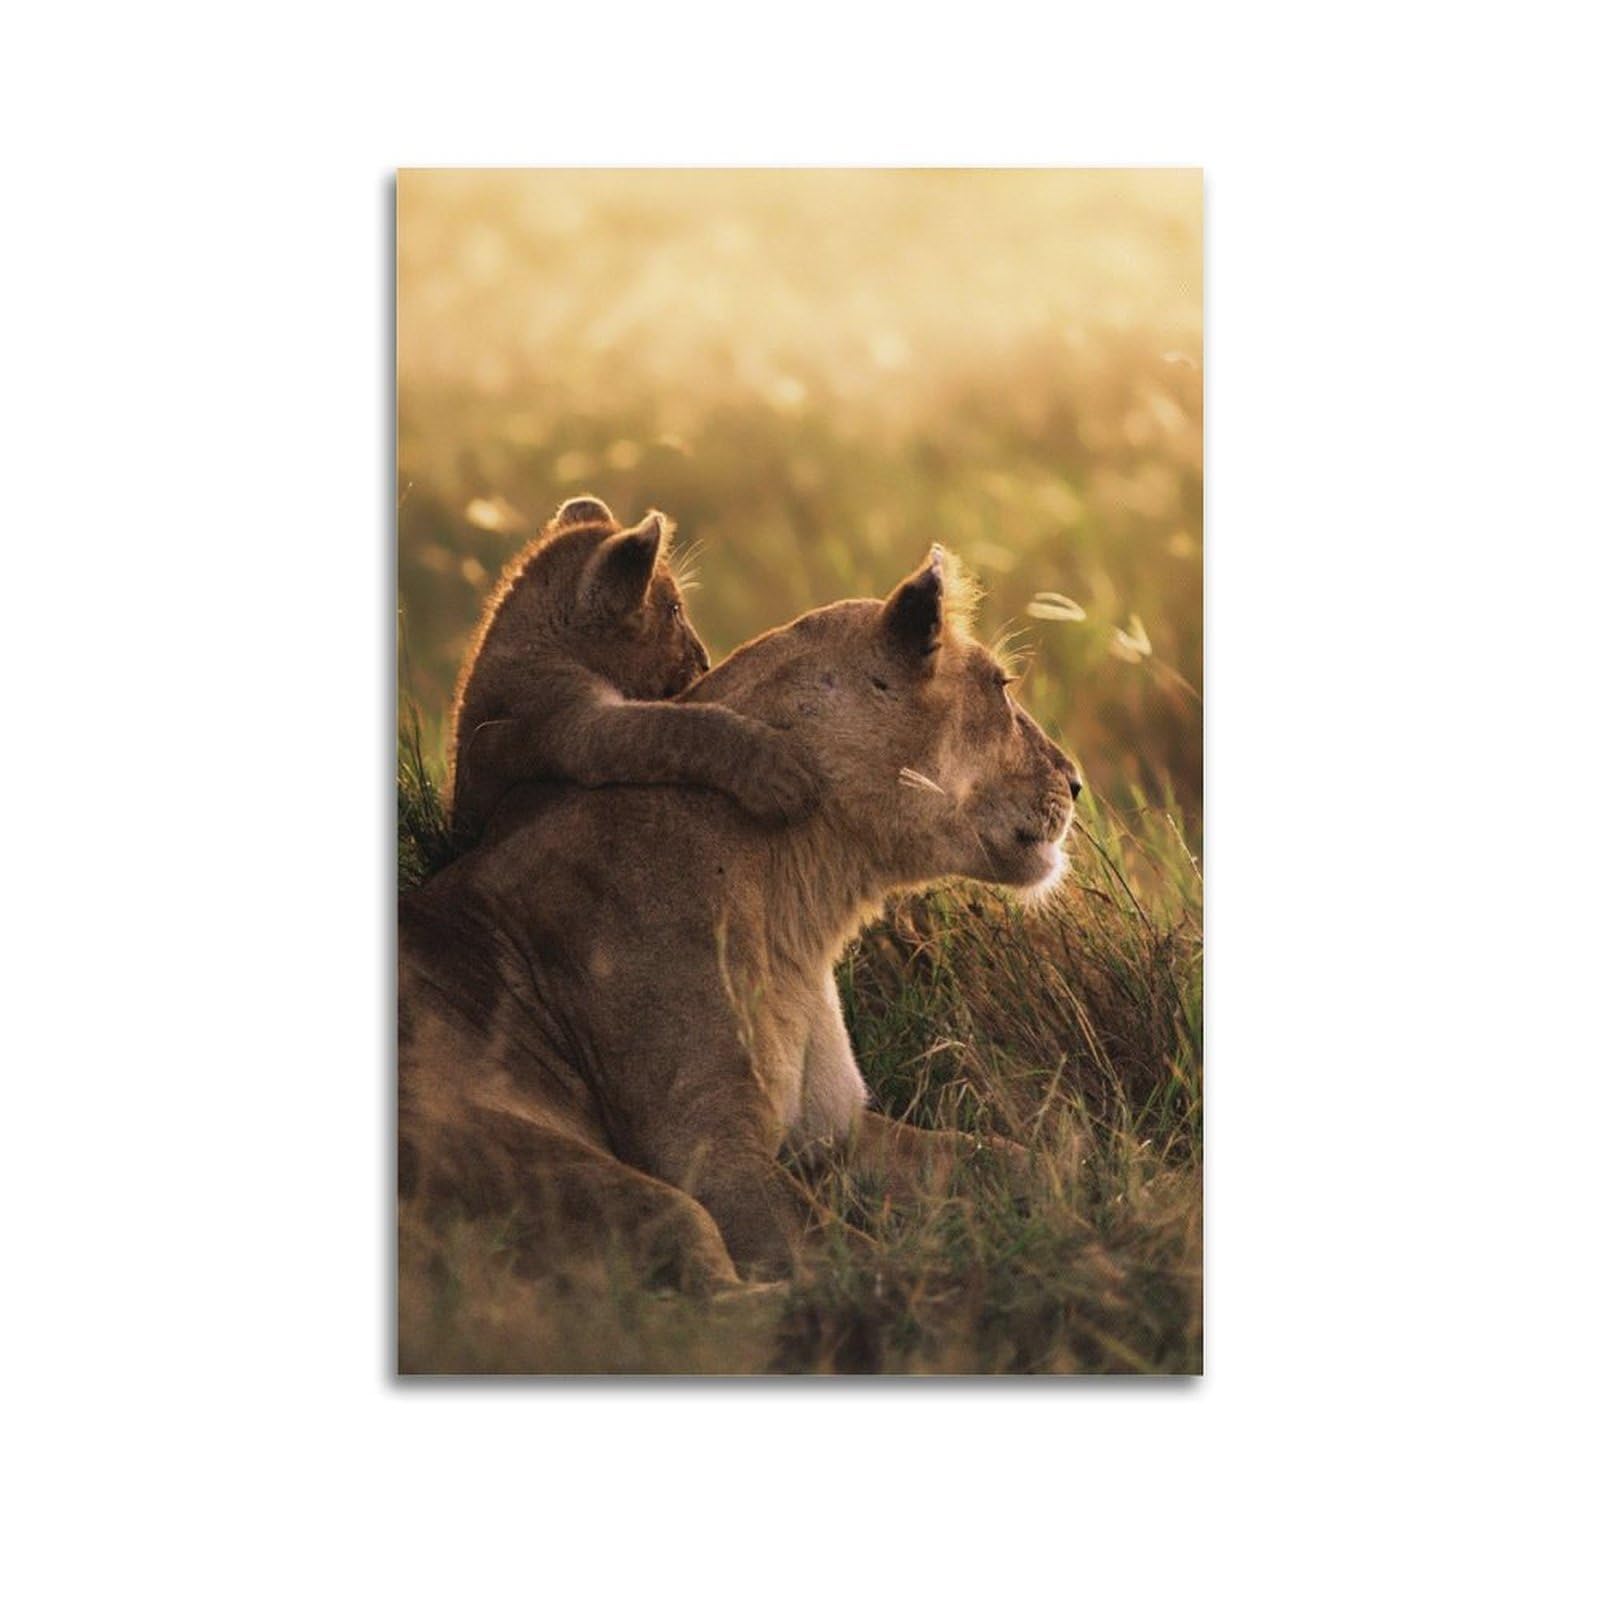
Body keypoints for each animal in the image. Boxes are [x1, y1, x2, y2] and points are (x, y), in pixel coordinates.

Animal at [401, 544, 1082, 1290]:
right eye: (1002, 686)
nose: (1076, 782)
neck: (805, 901)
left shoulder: (835, 1130)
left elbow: (1005, 1154)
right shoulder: (708, 1151)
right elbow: (845, 1258)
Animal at [448, 495, 818, 843]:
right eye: (674, 610)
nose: (705, 660)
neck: (543, 643)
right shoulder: (569, 725)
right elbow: (676, 727)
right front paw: (776, 773)